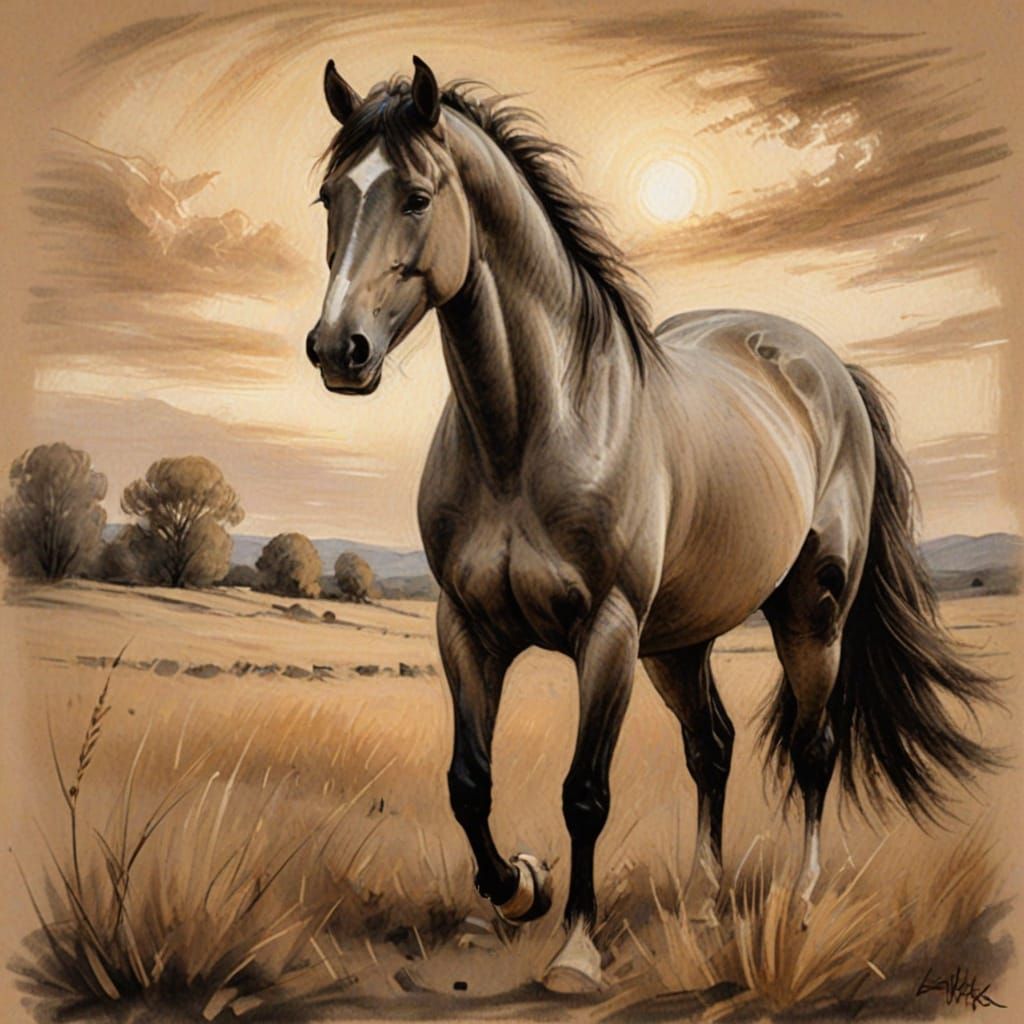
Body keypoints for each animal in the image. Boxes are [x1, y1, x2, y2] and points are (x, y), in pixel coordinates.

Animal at [303, 56, 997, 992]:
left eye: (415, 196)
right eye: (330, 197)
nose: (338, 350)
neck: (531, 431)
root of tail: (826, 367)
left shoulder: (608, 632)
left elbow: (584, 793)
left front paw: (576, 951)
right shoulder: (468, 628)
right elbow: (469, 783)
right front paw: (518, 887)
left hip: (808, 617)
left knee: (813, 747)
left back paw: (801, 900)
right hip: (679, 641)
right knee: (713, 745)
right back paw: (704, 901)